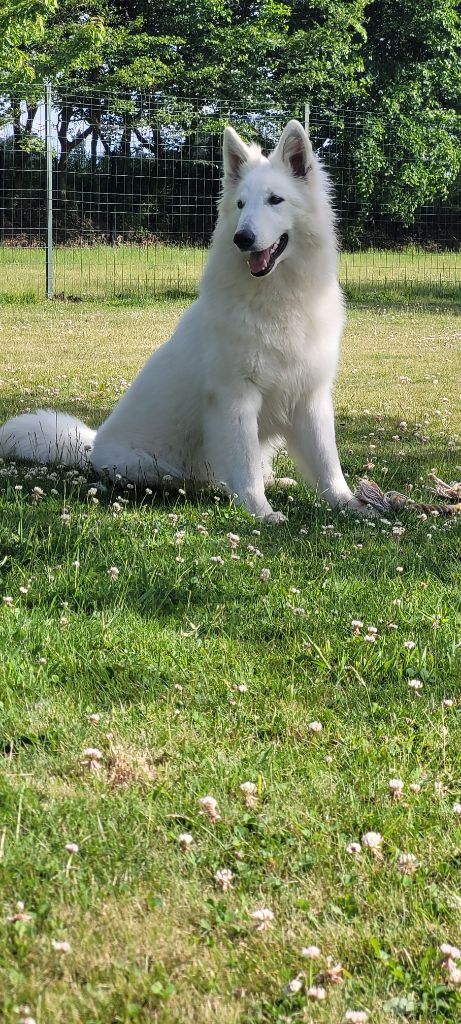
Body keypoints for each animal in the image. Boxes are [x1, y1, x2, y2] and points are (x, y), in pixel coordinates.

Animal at [0, 118, 364, 520]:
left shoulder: (310, 398)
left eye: (275, 200)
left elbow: (328, 463)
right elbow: (245, 467)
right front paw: (261, 513)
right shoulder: (235, 399)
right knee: (191, 478)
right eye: (240, 204)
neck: (279, 298)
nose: (242, 238)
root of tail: (91, 446)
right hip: (151, 468)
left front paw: (353, 504)